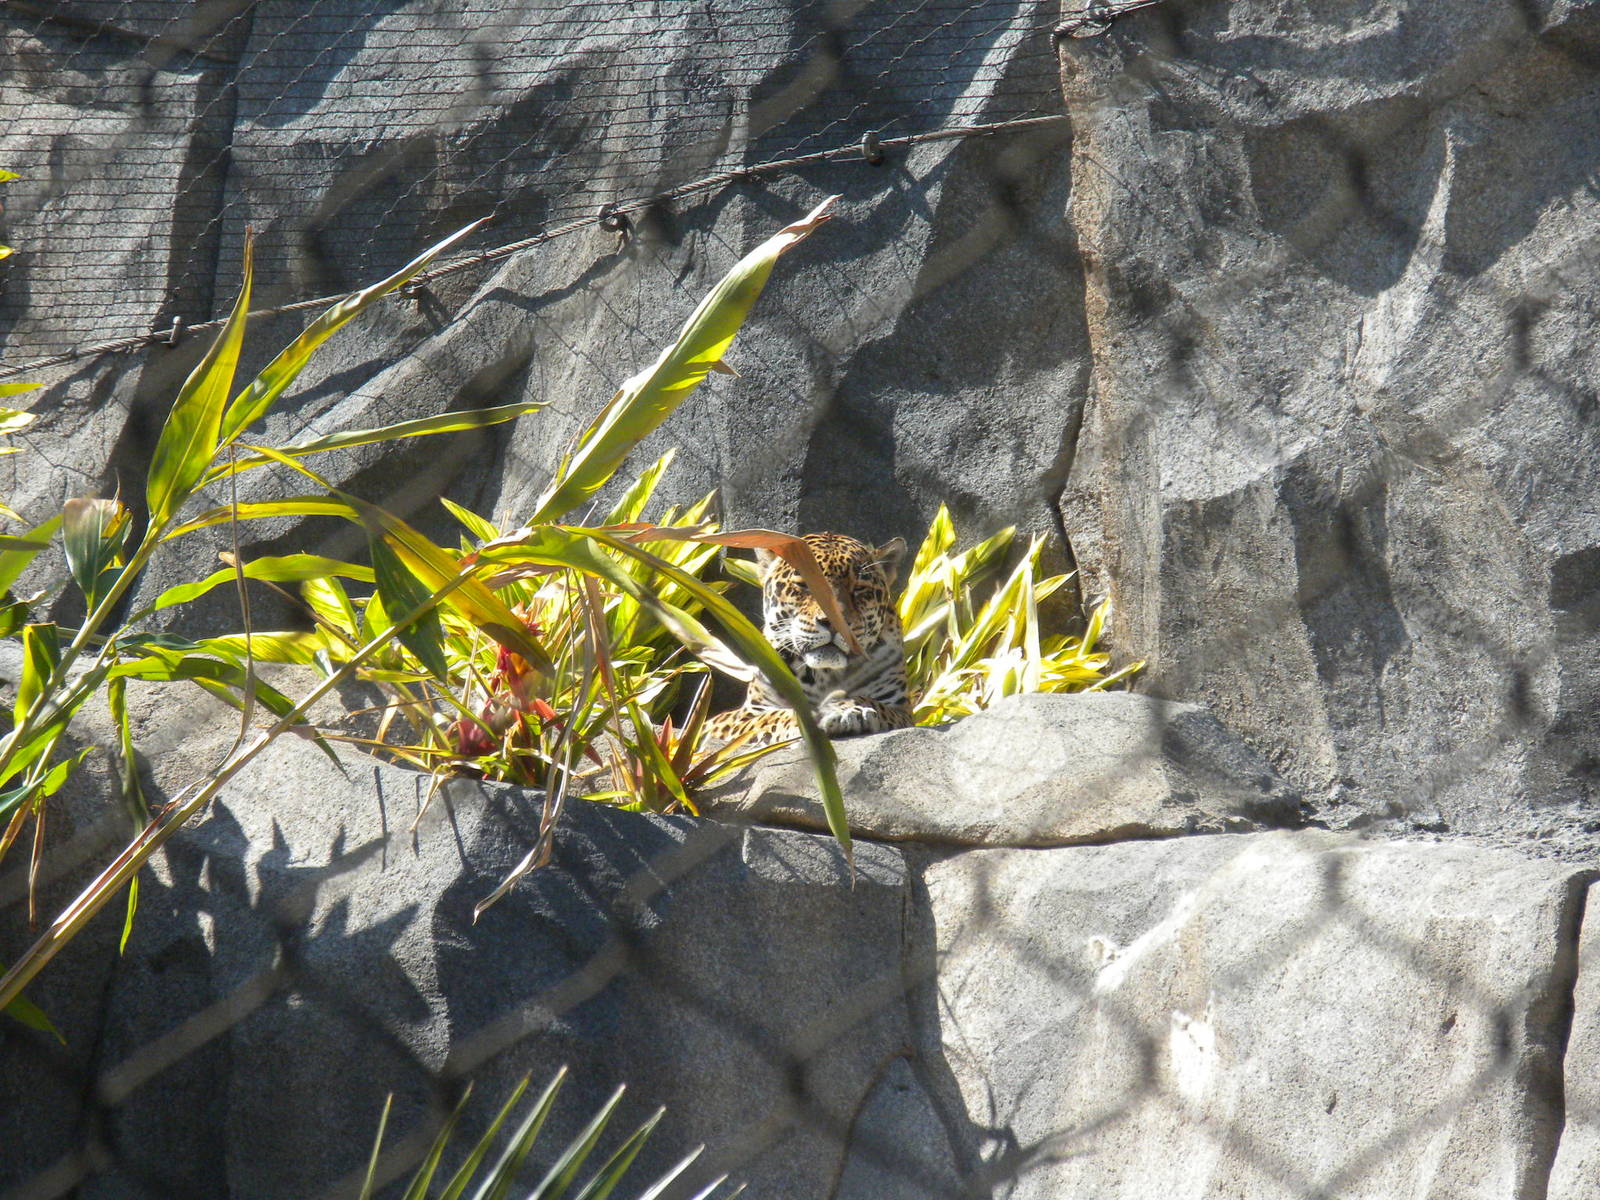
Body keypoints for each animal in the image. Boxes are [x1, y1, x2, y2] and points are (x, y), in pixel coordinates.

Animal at [704, 531, 915, 747]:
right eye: (804, 585)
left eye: (858, 588)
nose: (833, 622)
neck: (826, 675)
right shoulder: (740, 717)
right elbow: (775, 716)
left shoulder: (903, 712)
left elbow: (870, 701)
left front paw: (846, 709)